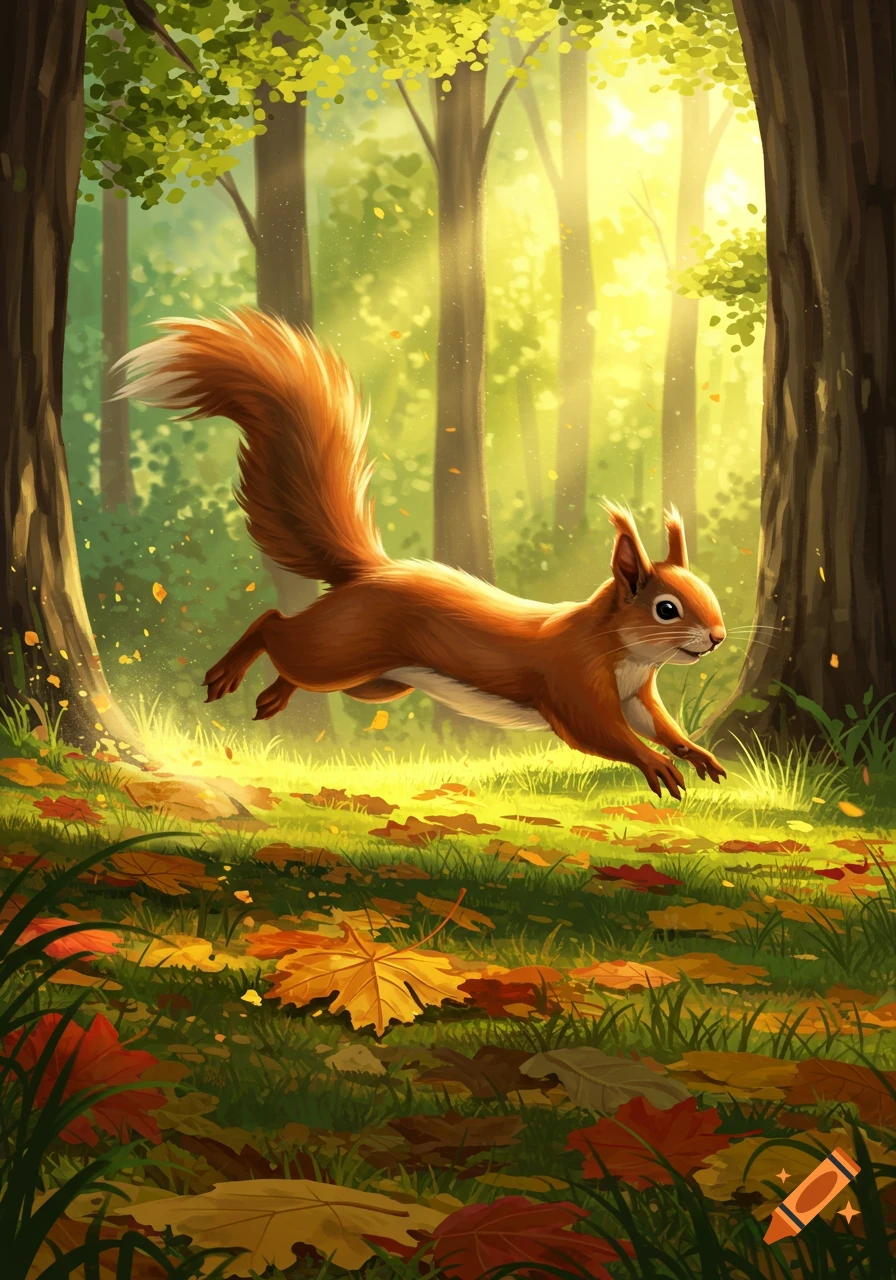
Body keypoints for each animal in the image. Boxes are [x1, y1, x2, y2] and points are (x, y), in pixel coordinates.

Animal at [116, 308, 727, 799]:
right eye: (666, 609)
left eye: (710, 593)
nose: (719, 637)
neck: (625, 652)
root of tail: (373, 571)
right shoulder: (571, 683)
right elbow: (602, 734)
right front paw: (655, 765)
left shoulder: (636, 696)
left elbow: (663, 726)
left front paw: (698, 755)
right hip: (339, 646)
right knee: (272, 624)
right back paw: (228, 673)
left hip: (377, 681)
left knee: (299, 660)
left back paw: (273, 695)